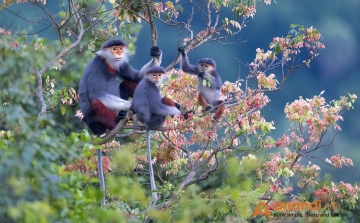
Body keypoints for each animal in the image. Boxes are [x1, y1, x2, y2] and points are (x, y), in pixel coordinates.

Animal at [79, 39, 162, 206]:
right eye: (114, 48)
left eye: (120, 48)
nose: (119, 53)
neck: (108, 64)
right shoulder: (97, 66)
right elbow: (98, 95)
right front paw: (132, 105)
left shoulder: (120, 64)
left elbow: (137, 77)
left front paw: (156, 53)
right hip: (97, 123)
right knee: (96, 103)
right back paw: (120, 119)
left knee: (126, 83)